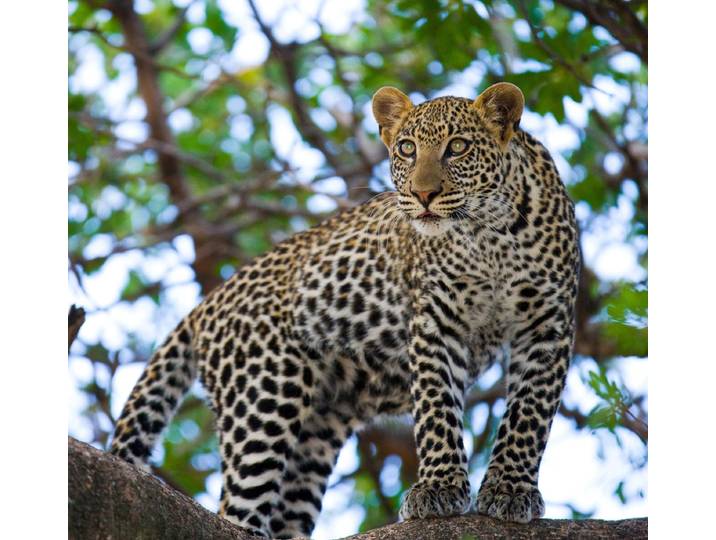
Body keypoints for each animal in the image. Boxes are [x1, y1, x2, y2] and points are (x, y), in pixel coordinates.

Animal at [110, 82, 579, 538]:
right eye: (407, 148)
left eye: (459, 147)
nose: (423, 194)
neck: (490, 235)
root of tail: (206, 305)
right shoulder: (436, 321)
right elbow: (437, 407)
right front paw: (438, 488)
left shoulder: (548, 323)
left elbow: (530, 414)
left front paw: (509, 490)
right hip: (264, 398)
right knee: (236, 507)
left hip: (317, 434)